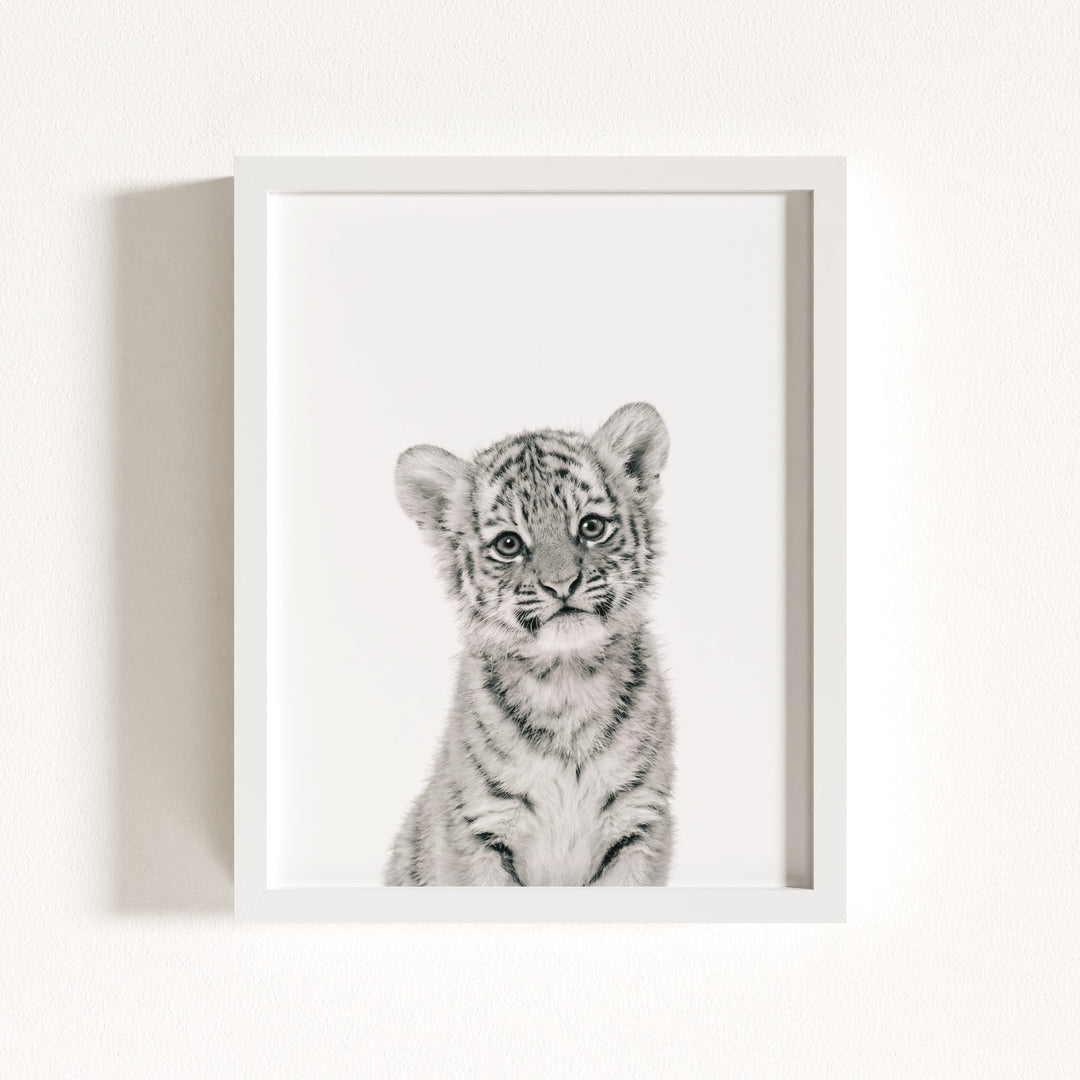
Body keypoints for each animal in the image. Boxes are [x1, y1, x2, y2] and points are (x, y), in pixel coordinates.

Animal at [383, 402, 675, 887]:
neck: (567, 681)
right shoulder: (479, 830)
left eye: (591, 526)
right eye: (509, 544)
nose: (562, 584)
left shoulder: (639, 824)